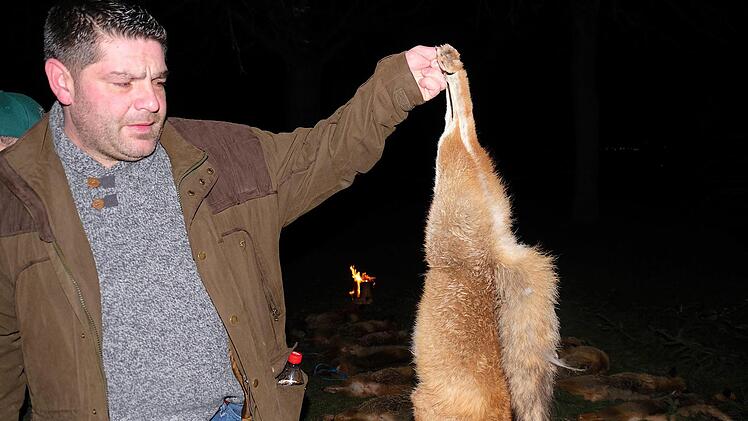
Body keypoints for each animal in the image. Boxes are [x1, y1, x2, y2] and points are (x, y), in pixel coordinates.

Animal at [411, 44, 561, 421]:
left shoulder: (422, 405)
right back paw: (451, 66)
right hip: (455, 174)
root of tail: (494, 250)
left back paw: (449, 66)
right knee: (462, 124)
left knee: (457, 125)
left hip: (445, 191)